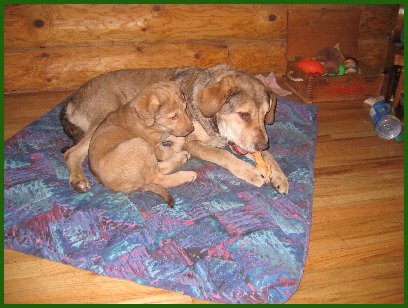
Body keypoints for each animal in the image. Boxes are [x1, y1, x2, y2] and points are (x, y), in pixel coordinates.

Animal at [61, 64, 290, 195]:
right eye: (244, 115)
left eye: (265, 115)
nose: (262, 143)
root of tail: (73, 98)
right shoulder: (194, 143)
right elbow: (223, 155)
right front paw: (250, 172)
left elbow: (268, 156)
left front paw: (279, 177)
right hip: (104, 121)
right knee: (71, 153)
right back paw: (78, 179)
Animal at [88, 80, 197, 208]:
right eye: (174, 116)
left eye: (185, 109)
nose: (192, 129)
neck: (145, 120)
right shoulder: (157, 149)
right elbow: (177, 143)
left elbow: (172, 135)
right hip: (140, 144)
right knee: (157, 178)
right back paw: (186, 173)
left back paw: (182, 157)